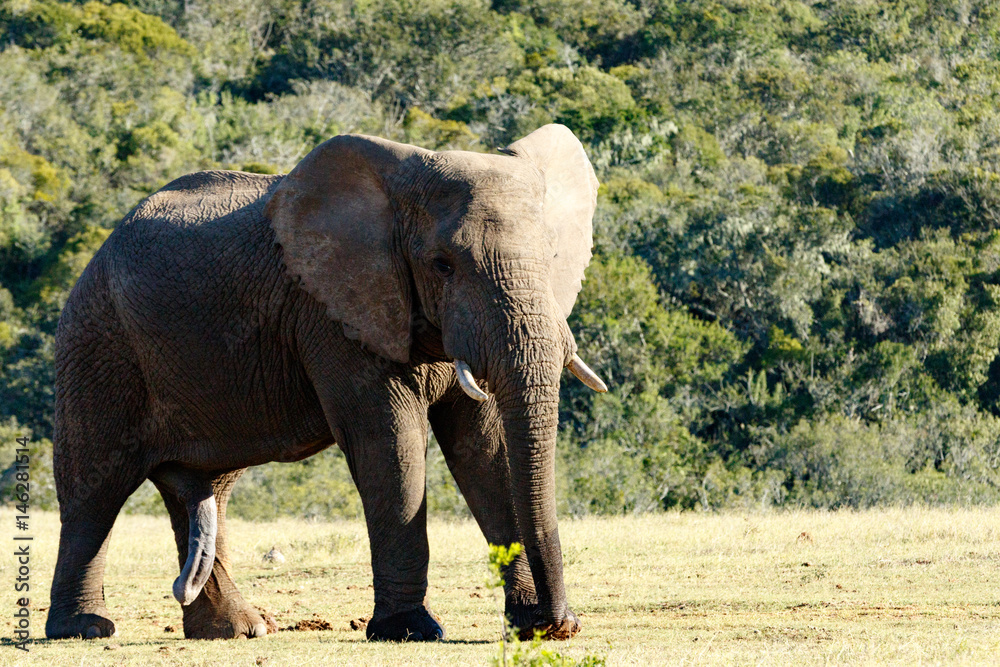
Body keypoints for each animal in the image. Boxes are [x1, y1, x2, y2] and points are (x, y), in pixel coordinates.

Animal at [44, 123, 608, 642]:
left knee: (207, 490)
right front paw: (410, 631)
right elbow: (390, 444)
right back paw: (84, 629)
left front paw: (530, 627)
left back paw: (237, 630)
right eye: (443, 265)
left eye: (553, 258)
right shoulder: (332, 315)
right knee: (94, 487)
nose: (561, 623)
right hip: (97, 342)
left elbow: (485, 448)